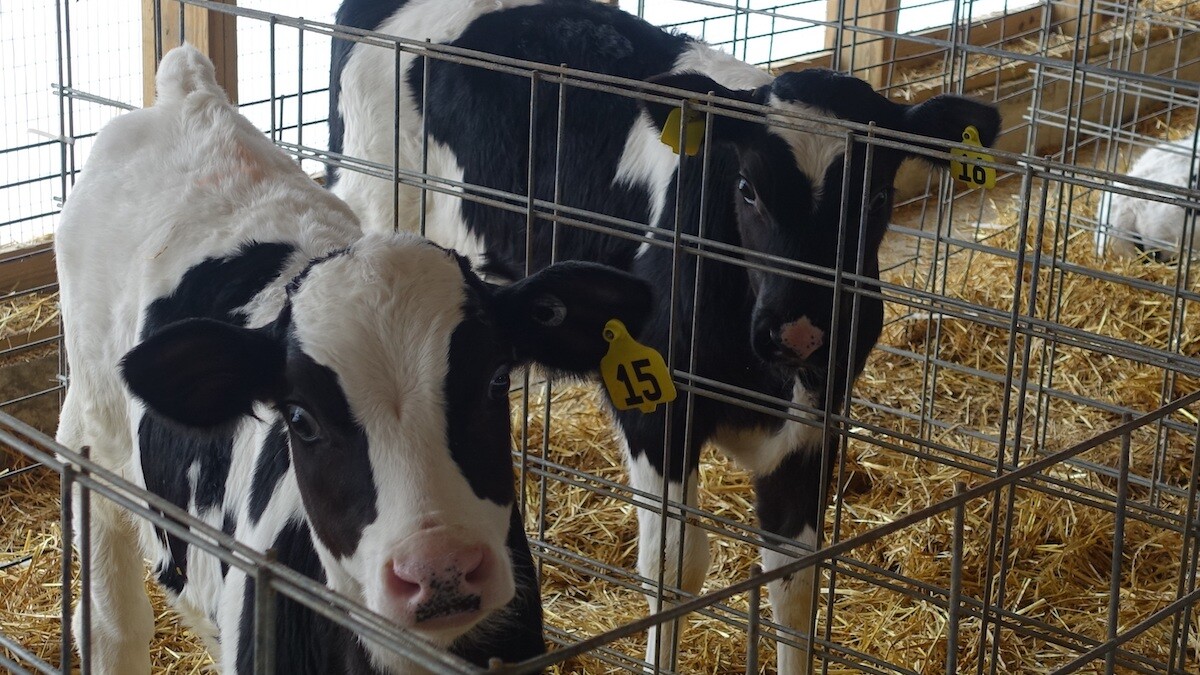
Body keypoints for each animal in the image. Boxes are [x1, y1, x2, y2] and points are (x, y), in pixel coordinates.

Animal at [55, 44, 651, 675]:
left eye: (495, 381)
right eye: (300, 418)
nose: (439, 570)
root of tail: (189, 93)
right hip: (96, 425)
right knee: (111, 612)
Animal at [327, 1, 1001, 672]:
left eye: (877, 198)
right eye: (747, 189)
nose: (801, 331)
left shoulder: (817, 420)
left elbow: (796, 581)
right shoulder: (654, 411)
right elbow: (674, 571)